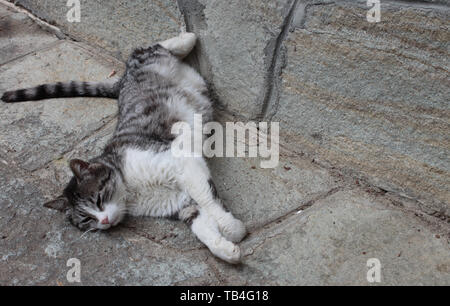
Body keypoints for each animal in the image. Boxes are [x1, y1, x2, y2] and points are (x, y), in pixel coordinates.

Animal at [0, 32, 246, 262]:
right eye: (86, 219)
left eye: (98, 200)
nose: (104, 221)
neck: (132, 193)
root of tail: (121, 83)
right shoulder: (181, 202)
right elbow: (201, 224)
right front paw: (226, 249)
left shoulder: (182, 163)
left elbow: (207, 198)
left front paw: (232, 229)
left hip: (151, 60)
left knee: (147, 48)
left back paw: (187, 38)